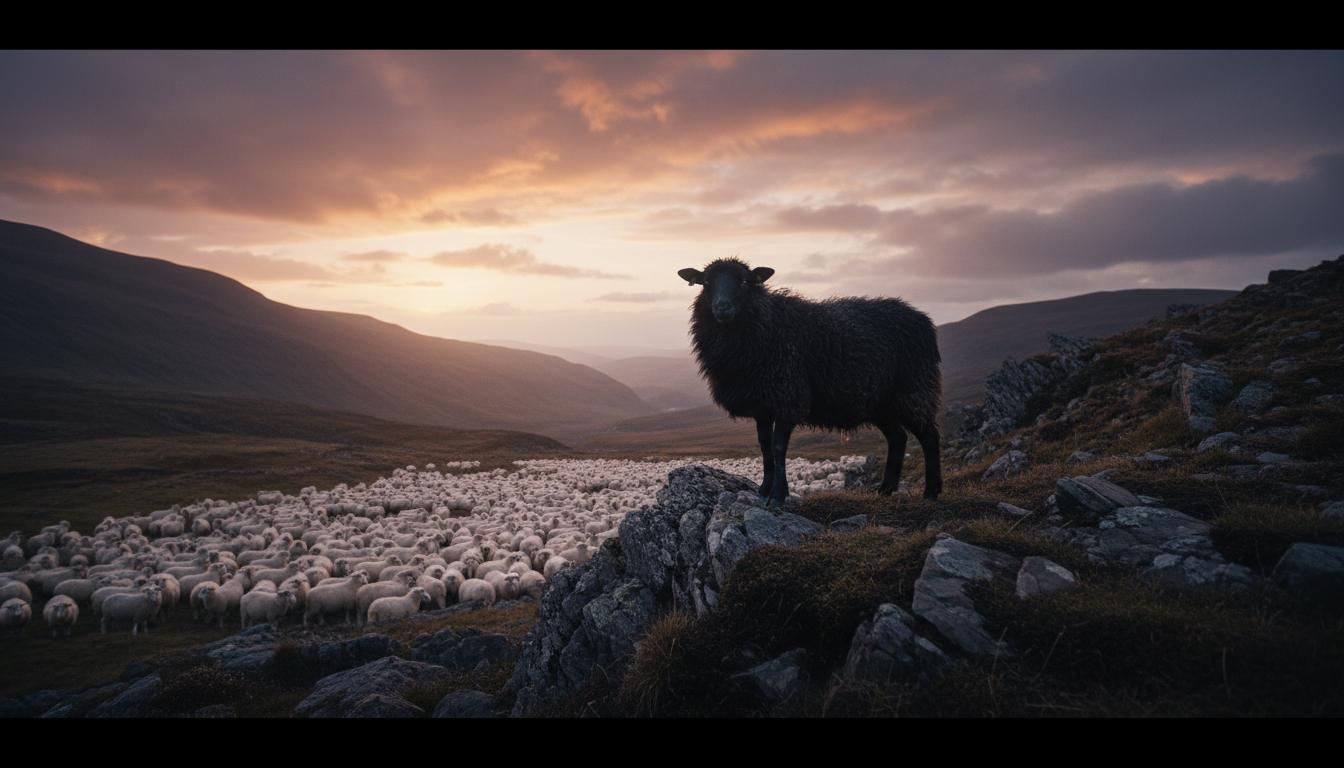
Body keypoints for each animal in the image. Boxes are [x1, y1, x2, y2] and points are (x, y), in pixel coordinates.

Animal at [678, 257, 943, 502]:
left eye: (743, 281)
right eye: (706, 282)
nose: (722, 307)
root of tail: (923, 319)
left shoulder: (788, 396)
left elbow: (778, 447)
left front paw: (778, 495)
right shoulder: (762, 406)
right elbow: (764, 447)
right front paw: (763, 490)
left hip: (913, 389)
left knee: (929, 436)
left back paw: (931, 491)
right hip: (880, 402)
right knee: (898, 438)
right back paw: (885, 489)